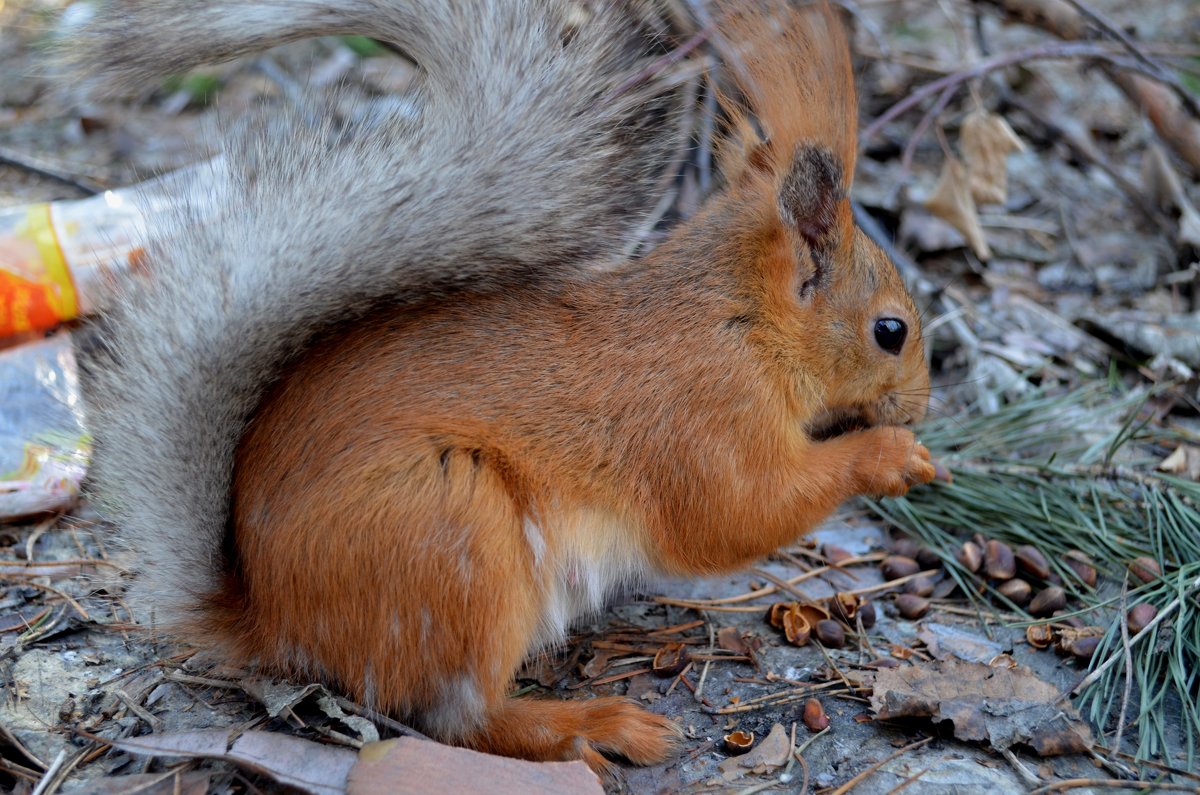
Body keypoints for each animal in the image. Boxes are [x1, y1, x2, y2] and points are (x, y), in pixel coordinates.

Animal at [68, 0, 936, 778]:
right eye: (890, 330)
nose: (921, 403)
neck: (740, 324)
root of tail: (274, 619)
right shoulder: (705, 420)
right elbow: (737, 518)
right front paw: (890, 455)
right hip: (456, 531)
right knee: (461, 716)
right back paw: (595, 724)